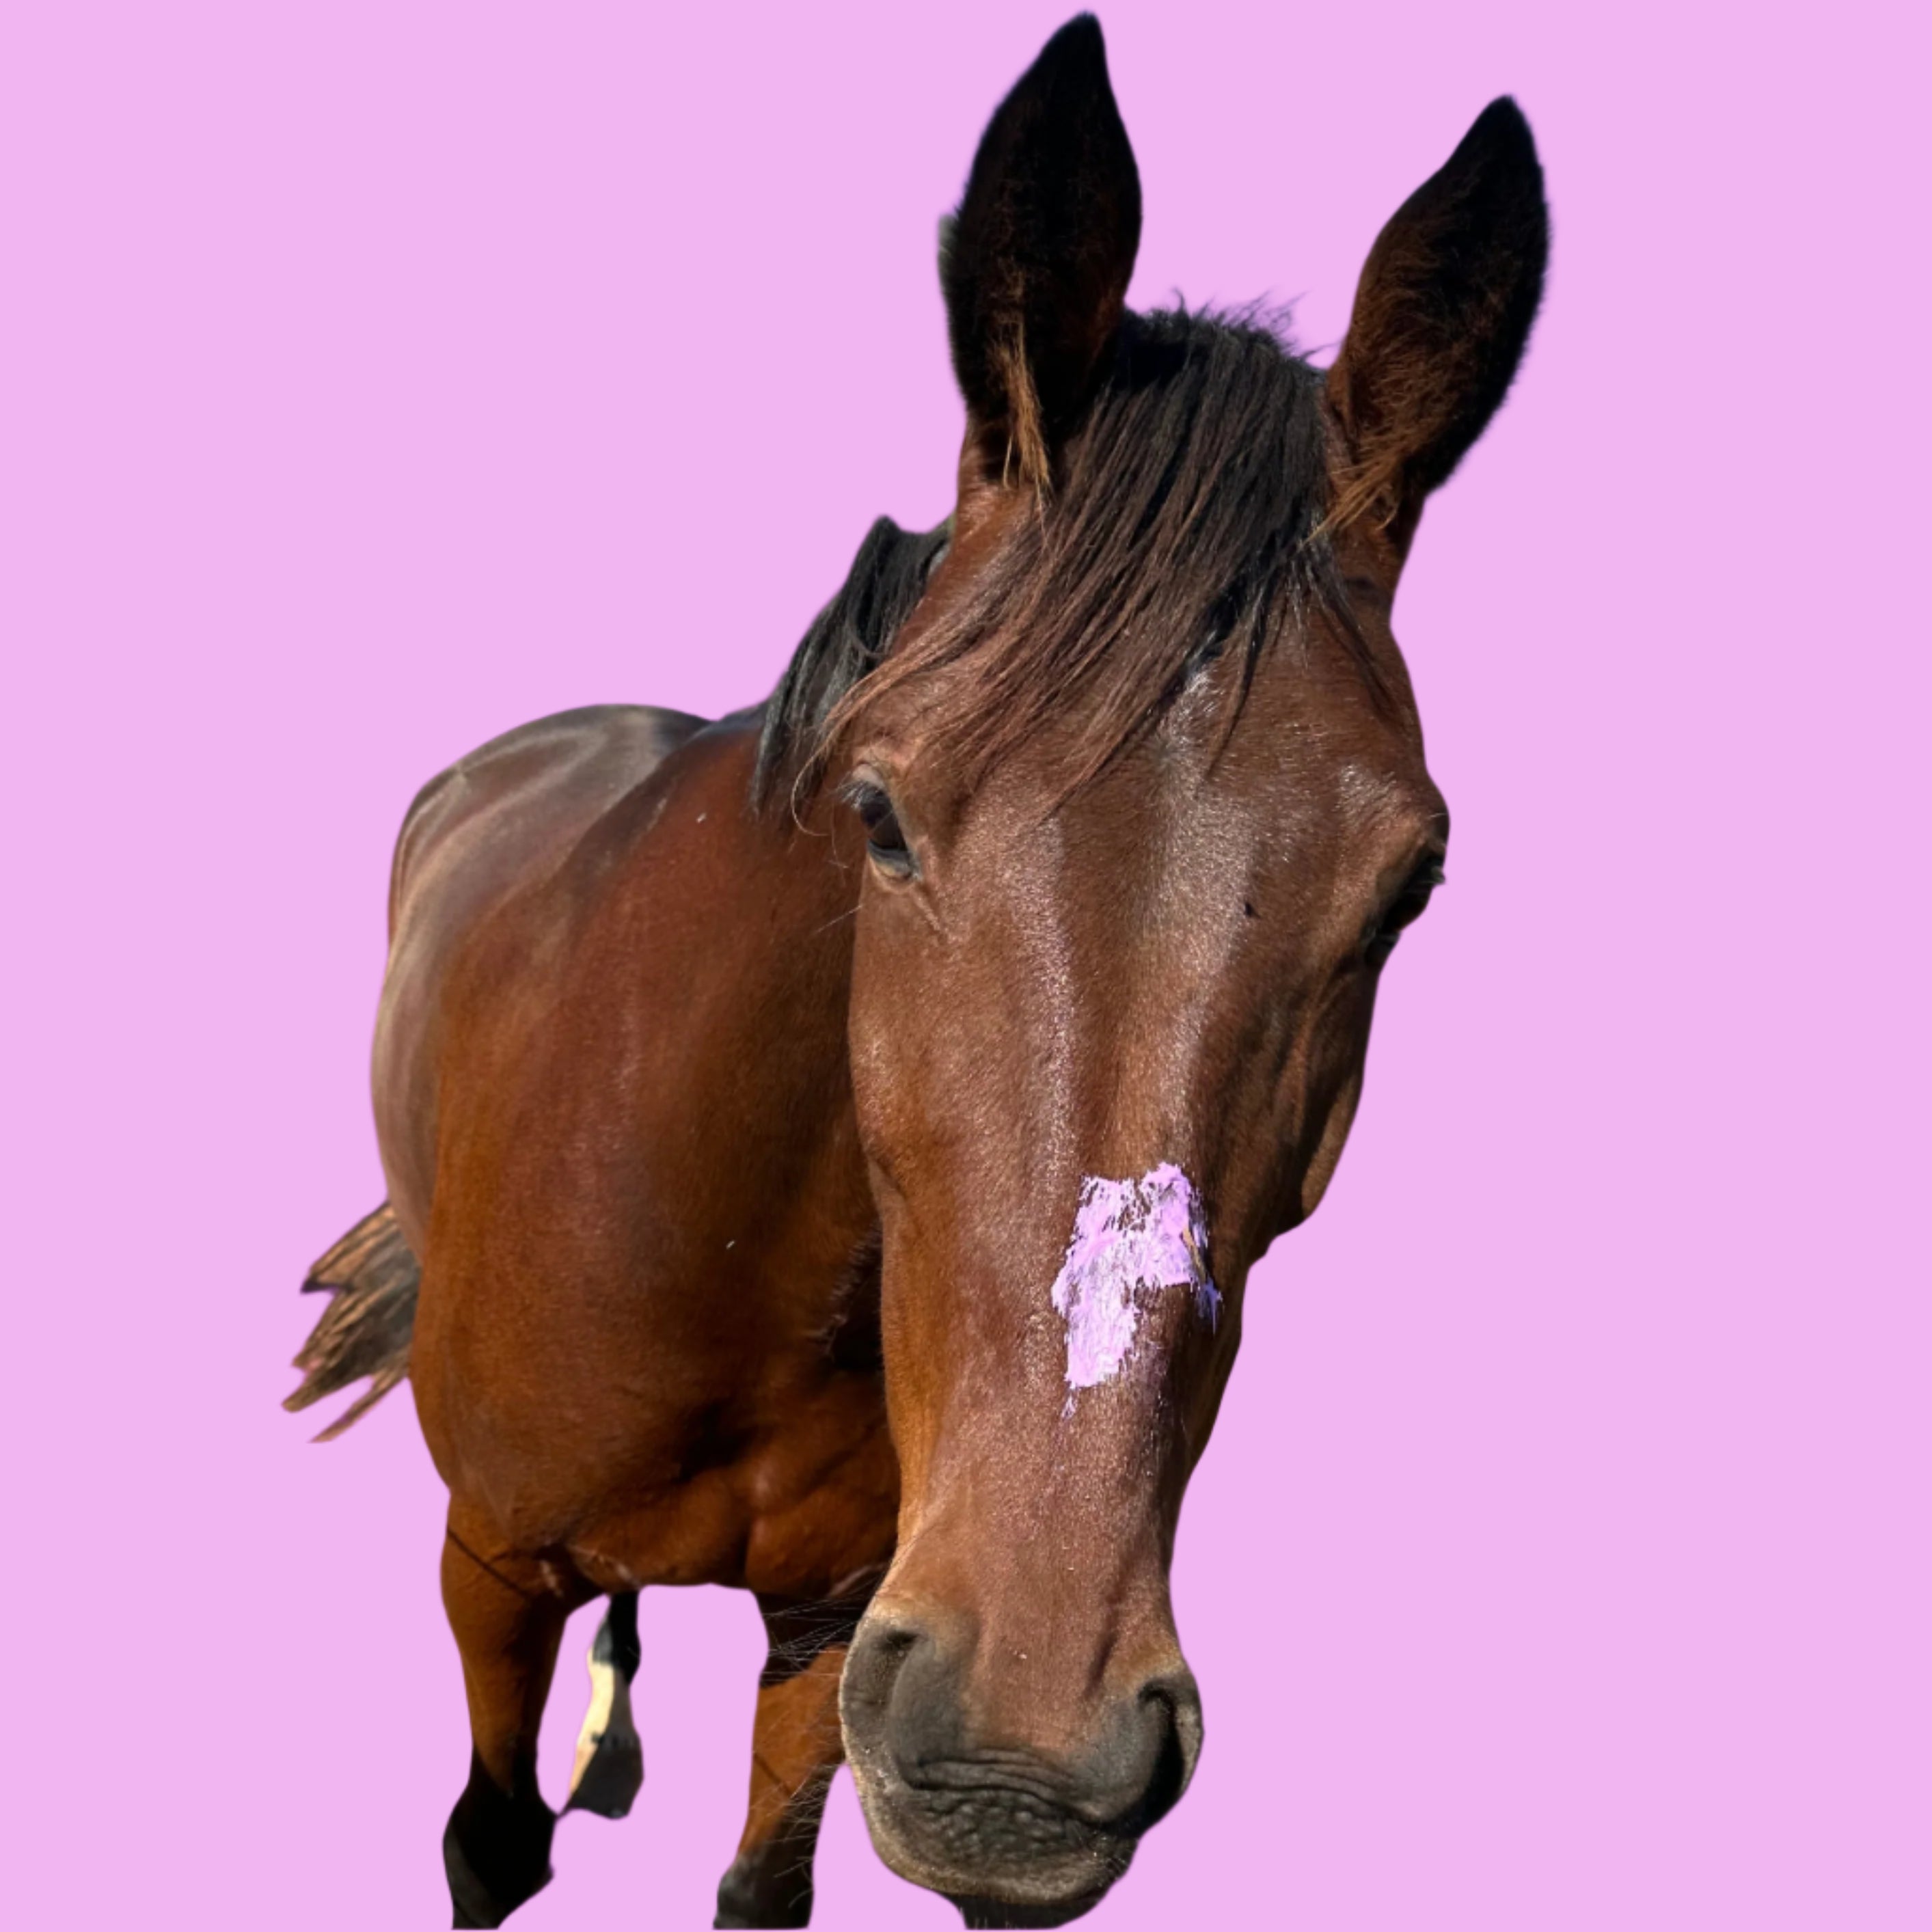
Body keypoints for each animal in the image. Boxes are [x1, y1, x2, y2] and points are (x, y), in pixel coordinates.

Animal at [286, 15, 1546, 1927]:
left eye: (1405, 887)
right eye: (876, 813)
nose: (1015, 1749)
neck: (712, 1245)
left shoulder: (832, 1637)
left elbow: (762, 1881)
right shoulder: (486, 1567)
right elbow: (489, 1841)